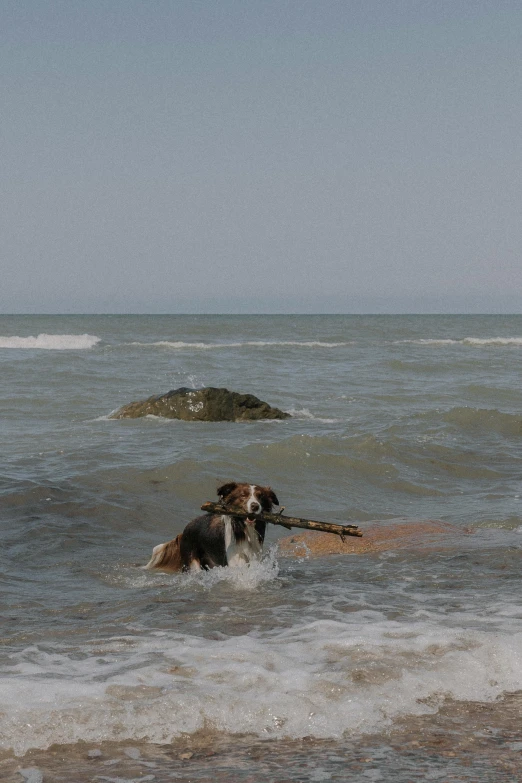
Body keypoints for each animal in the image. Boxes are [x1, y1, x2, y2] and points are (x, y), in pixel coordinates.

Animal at [144, 480, 278, 572]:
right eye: (243, 495)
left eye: (260, 497)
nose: (255, 506)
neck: (244, 530)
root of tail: (184, 531)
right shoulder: (234, 560)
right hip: (193, 562)